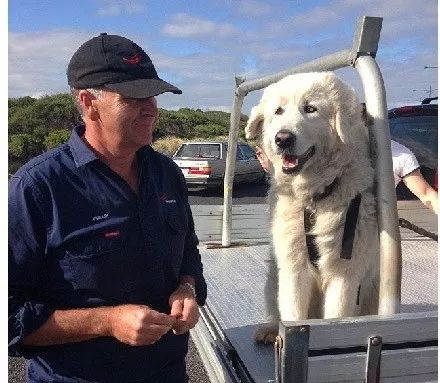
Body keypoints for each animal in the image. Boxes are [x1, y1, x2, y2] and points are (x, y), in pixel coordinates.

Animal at [246, 72, 380, 344]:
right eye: (278, 111)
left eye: (310, 109)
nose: (282, 139)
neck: (314, 198)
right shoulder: (294, 267)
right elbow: (292, 316)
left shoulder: (343, 272)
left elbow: (335, 318)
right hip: (273, 279)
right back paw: (269, 330)